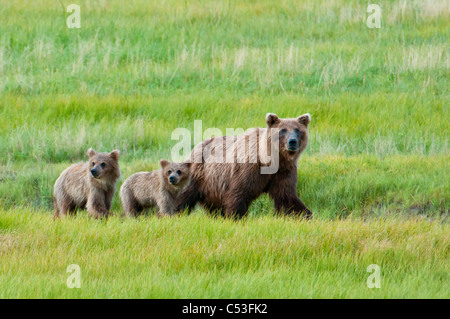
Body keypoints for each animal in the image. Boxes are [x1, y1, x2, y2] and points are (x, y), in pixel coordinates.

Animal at [177, 113, 312, 220]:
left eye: (297, 130)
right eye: (283, 130)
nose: (292, 142)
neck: (272, 160)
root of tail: (197, 146)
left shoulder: (283, 171)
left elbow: (286, 195)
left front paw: (305, 215)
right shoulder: (248, 169)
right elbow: (239, 192)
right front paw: (236, 217)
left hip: (212, 187)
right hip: (200, 175)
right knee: (184, 194)